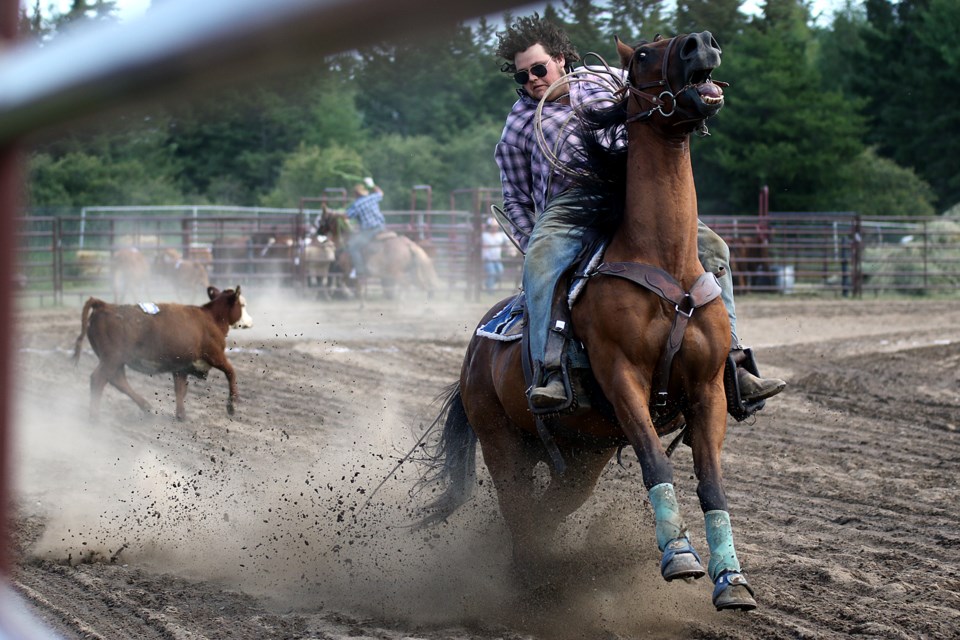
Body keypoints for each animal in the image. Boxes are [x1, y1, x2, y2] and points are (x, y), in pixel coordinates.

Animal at [72, 284, 253, 420]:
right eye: (243, 304)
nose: (251, 321)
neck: (211, 318)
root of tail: (104, 305)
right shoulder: (215, 355)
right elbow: (231, 372)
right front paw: (232, 405)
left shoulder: (181, 366)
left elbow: (180, 389)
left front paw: (181, 415)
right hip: (112, 358)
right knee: (98, 379)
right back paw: (94, 417)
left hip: (115, 360)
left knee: (118, 380)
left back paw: (146, 406)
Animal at [316, 208, 444, 302]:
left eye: (321, 220)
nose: (317, 233)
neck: (346, 241)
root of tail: (409, 245)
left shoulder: (347, 271)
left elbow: (344, 283)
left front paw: (348, 295)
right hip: (413, 274)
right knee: (424, 287)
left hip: (397, 273)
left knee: (407, 286)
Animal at [420, 32, 756, 612]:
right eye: (642, 54)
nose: (701, 43)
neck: (662, 257)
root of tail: (472, 357)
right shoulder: (622, 378)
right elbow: (655, 461)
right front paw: (679, 557)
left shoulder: (707, 390)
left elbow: (711, 482)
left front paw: (731, 581)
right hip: (503, 445)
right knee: (521, 513)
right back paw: (533, 585)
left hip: (582, 457)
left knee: (545, 511)